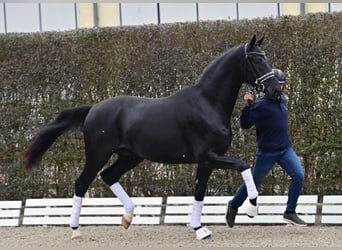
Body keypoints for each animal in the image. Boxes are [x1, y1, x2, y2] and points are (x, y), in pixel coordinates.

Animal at [22, 35, 282, 240]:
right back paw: (76, 230)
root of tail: (93, 108)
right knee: (82, 183)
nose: (275, 90)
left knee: (108, 176)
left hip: (130, 156)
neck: (207, 103)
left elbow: (199, 191)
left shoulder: (207, 161)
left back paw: (127, 217)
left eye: (266, 57)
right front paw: (251, 209)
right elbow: (243, 165)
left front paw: (200, 229)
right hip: (98, 154)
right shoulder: (209, 156)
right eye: (257, 59)